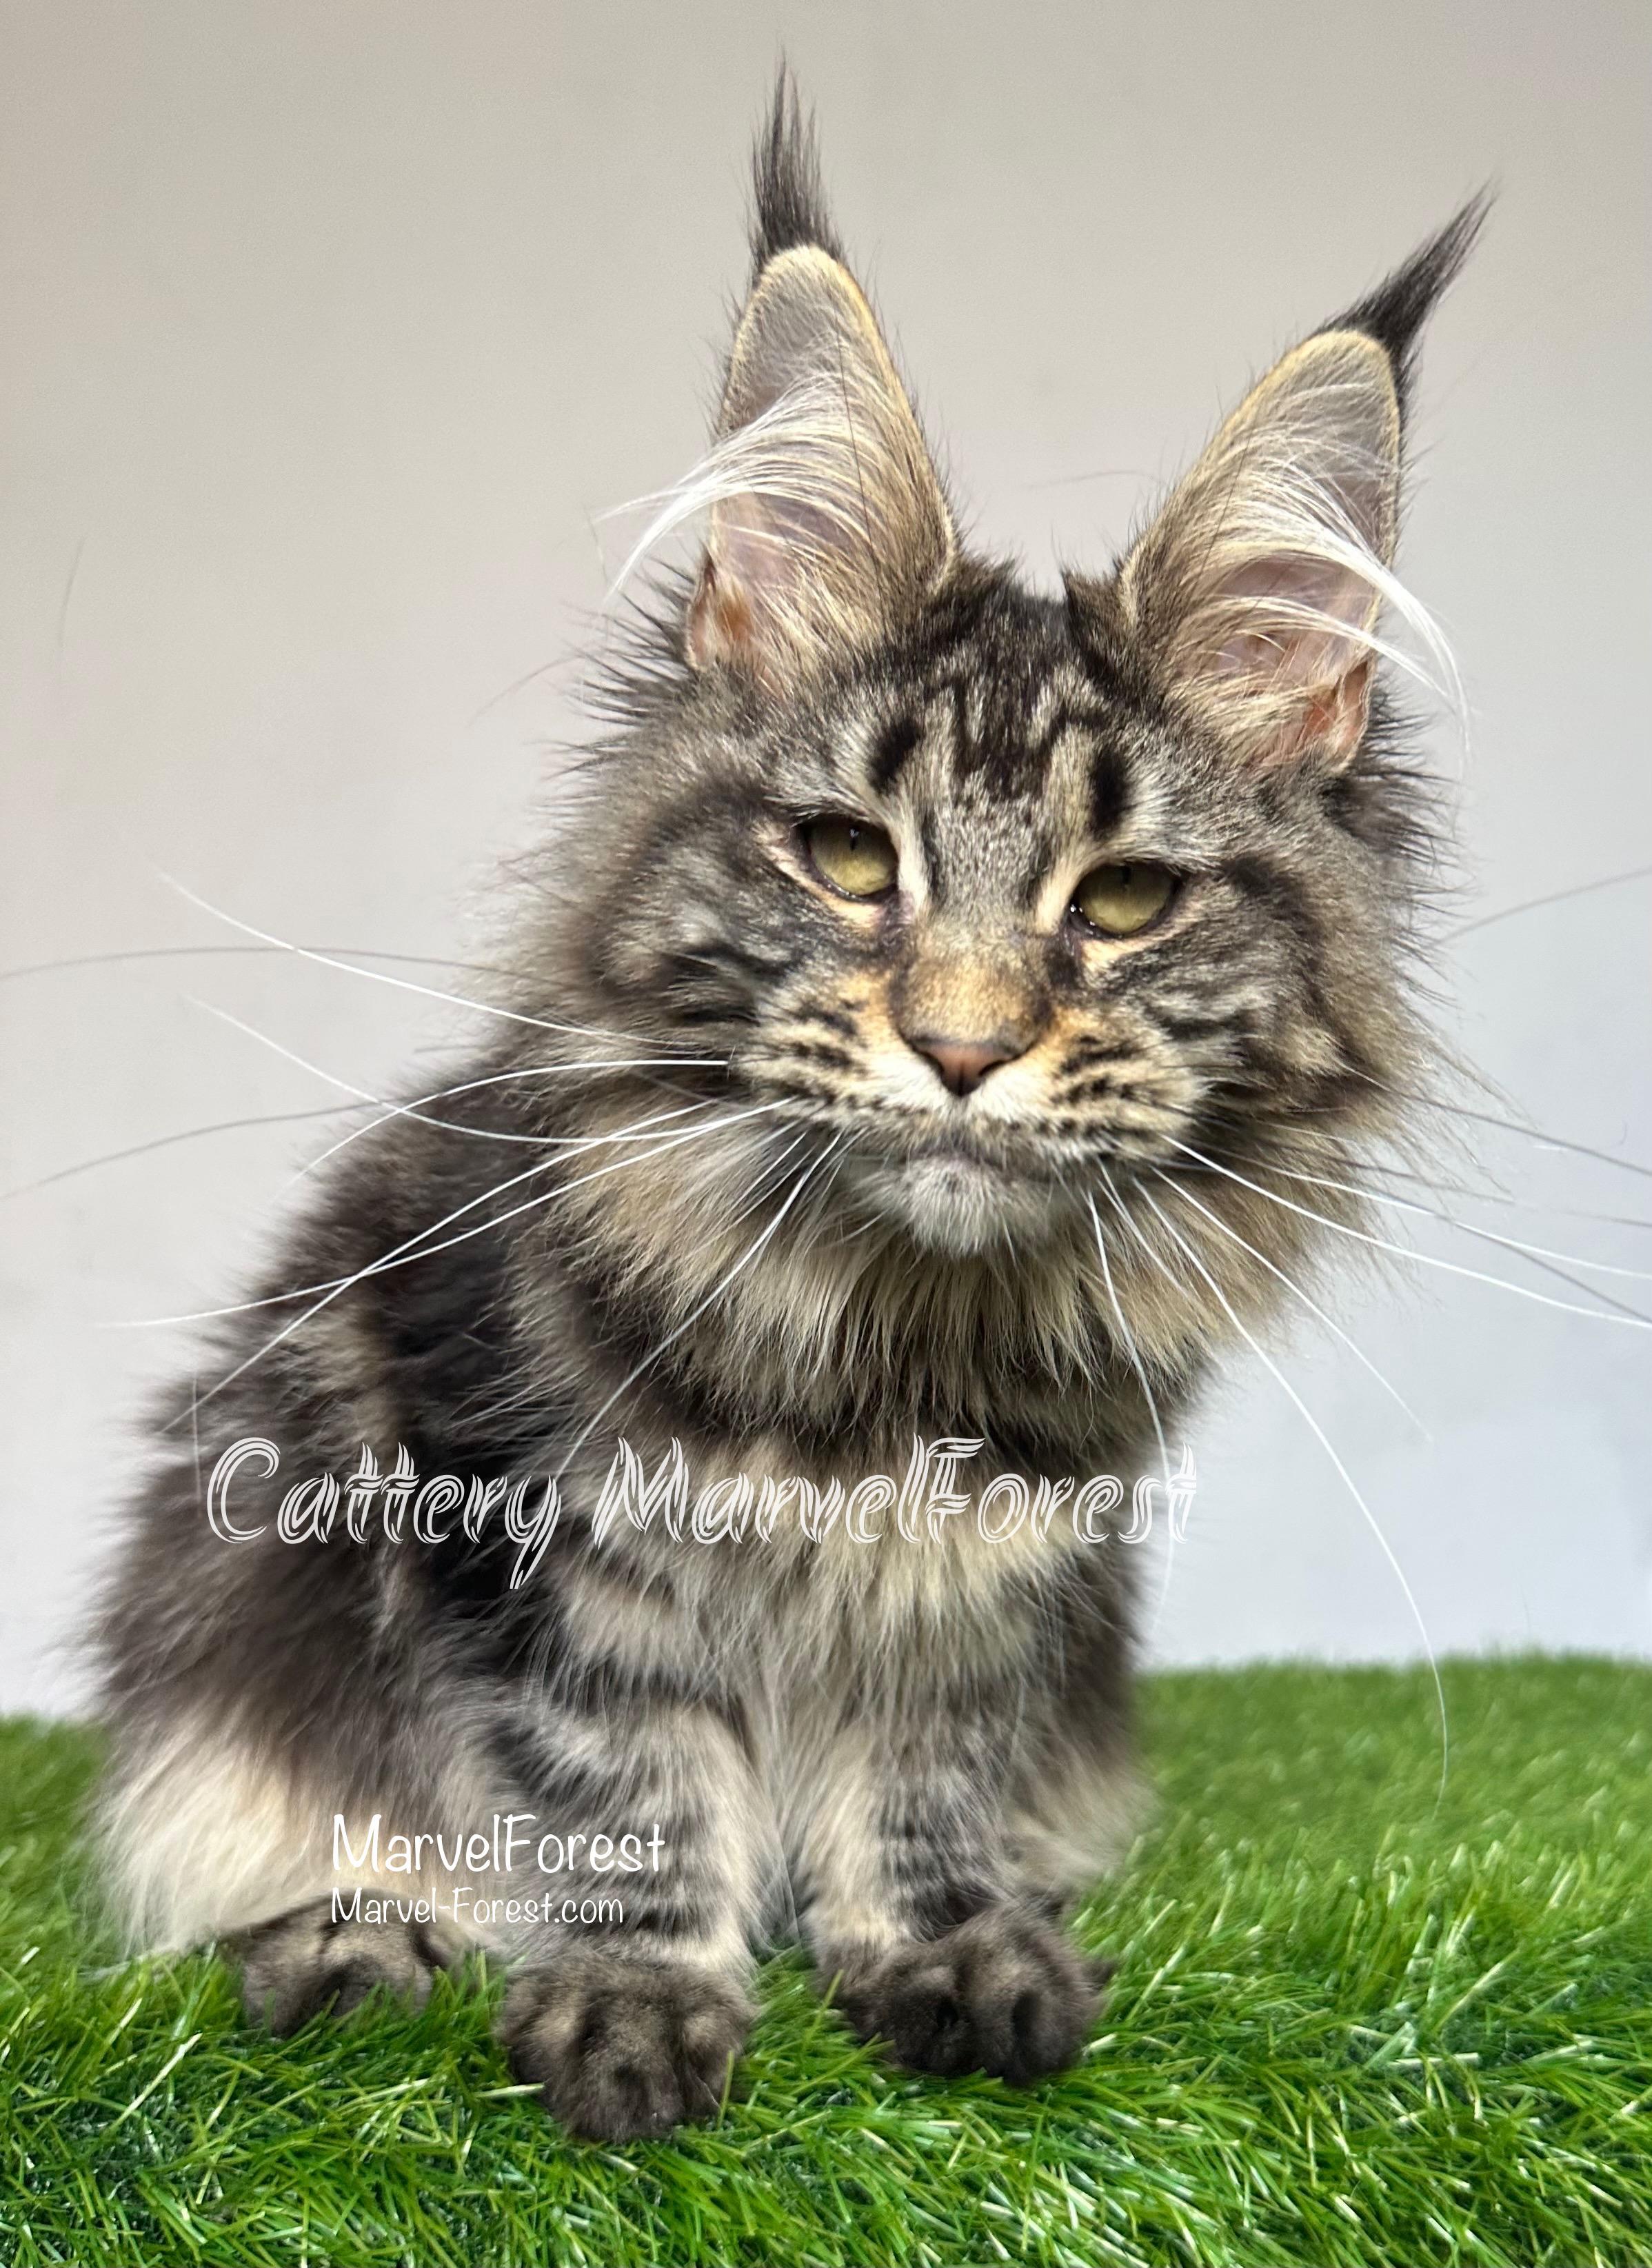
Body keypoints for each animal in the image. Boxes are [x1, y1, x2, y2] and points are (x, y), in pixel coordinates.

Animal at [90, 77, 1482, 2140]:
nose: (965, 1047)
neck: (891, 1360)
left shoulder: (997, 1593)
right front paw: (635, 2009)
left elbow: (919, 1789)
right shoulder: (520, 1522)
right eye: (846, 860)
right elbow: (624, 1787)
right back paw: (351, 1946)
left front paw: (943, 1958)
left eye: (1123, 900)